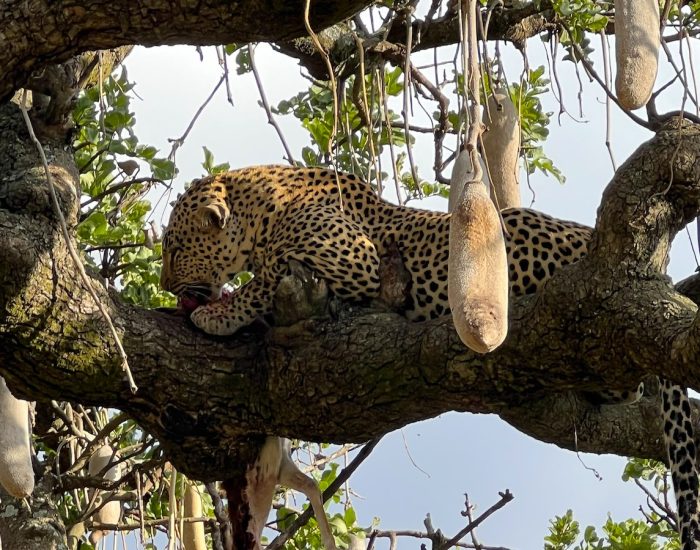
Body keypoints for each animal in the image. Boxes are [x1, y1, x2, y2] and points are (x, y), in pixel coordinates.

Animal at [160, 164, 699, 550]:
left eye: (173, 248)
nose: (165, 284)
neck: (263, 205)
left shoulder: (353, 258)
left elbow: (268, 274)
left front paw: (219, 313)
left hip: (511, 234)